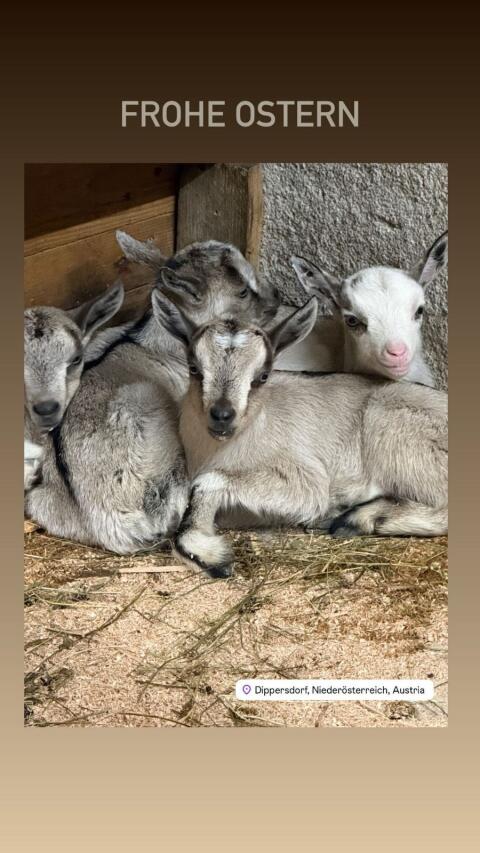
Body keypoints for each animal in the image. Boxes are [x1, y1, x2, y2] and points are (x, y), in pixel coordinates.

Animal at [153, 294, 448, 578]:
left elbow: (208, 482)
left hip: (392, 430)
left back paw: (355, 519)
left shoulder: (305, 477)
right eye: (194, 368)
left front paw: (213, 557)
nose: (222, 415)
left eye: (262, 376)